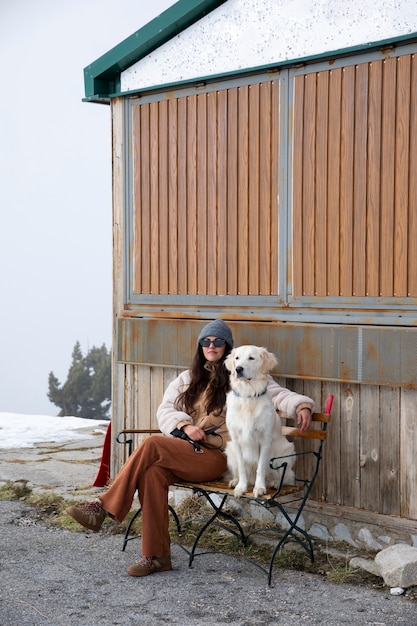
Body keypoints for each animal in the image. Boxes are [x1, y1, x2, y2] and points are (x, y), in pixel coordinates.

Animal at [223, 344, 294, 494]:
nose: (238, 369)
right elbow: (242, 467)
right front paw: (241, 487)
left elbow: (260, 468)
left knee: (286, 477)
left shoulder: (265, 440)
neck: (248, 395)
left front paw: (260, 487)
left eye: (251, 358)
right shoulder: (236, 440)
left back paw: (274, 483)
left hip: (286, 453)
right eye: (237, 358)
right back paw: (235, 481)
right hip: (230, 451)